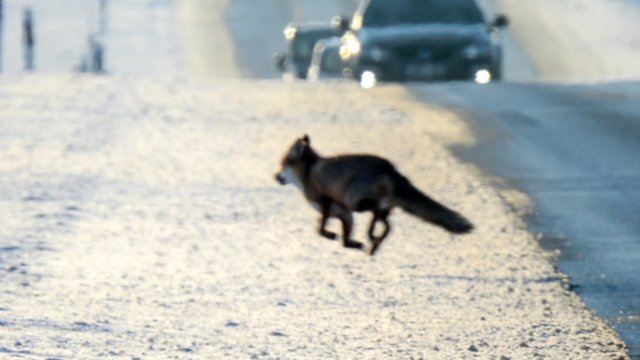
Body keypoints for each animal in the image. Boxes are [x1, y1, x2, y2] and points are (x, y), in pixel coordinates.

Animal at [272, 135, 472, 256]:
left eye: (282, 165)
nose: (275, 177)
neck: (308, 173)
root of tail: (390, 169)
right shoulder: (344, 213)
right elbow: (345, 239)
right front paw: (352, 244)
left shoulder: (327, 202)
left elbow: (320, 229)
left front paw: (330, 235)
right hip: (376, 208)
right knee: (388, 226)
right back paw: (374, 244)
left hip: (355, 200)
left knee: (379, 219)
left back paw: (372, 238)